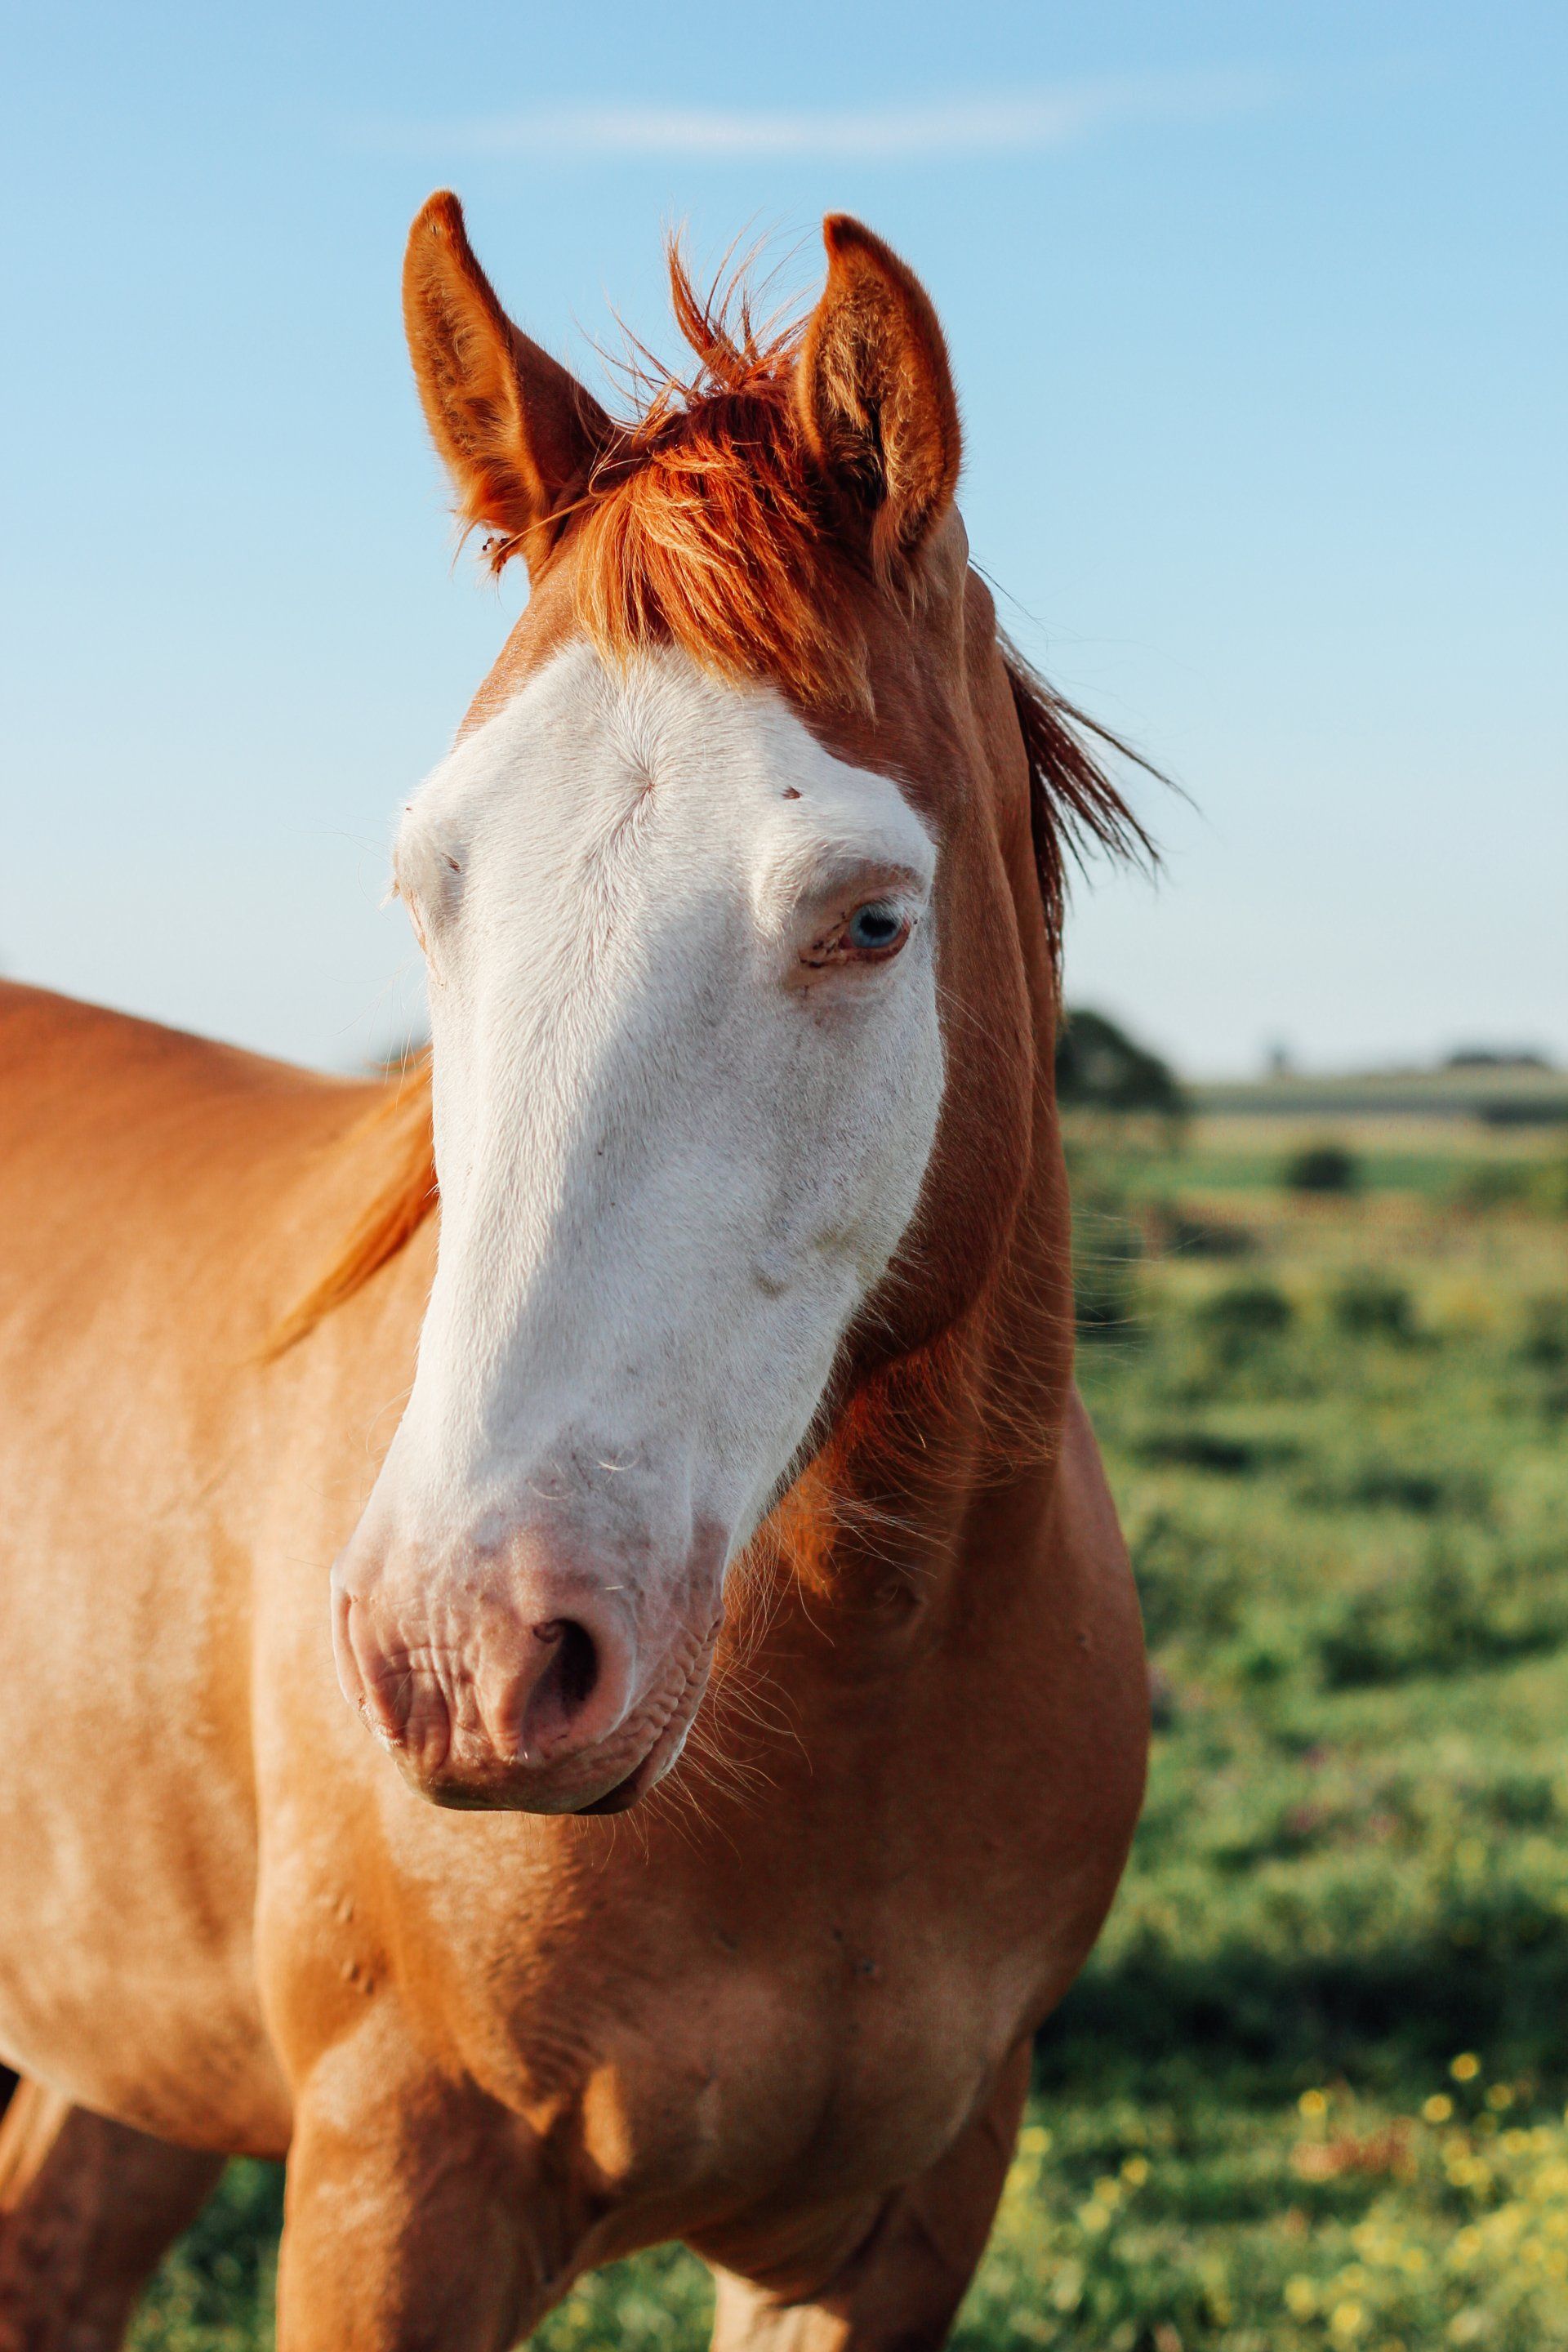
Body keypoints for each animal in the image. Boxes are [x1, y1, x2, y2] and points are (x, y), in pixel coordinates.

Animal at [0, 196, 1150, 2350]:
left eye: (870, 919)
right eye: (422, 885)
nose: (465, 1657)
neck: (847, 1718)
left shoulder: (901, 2226)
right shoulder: (396, 2196)